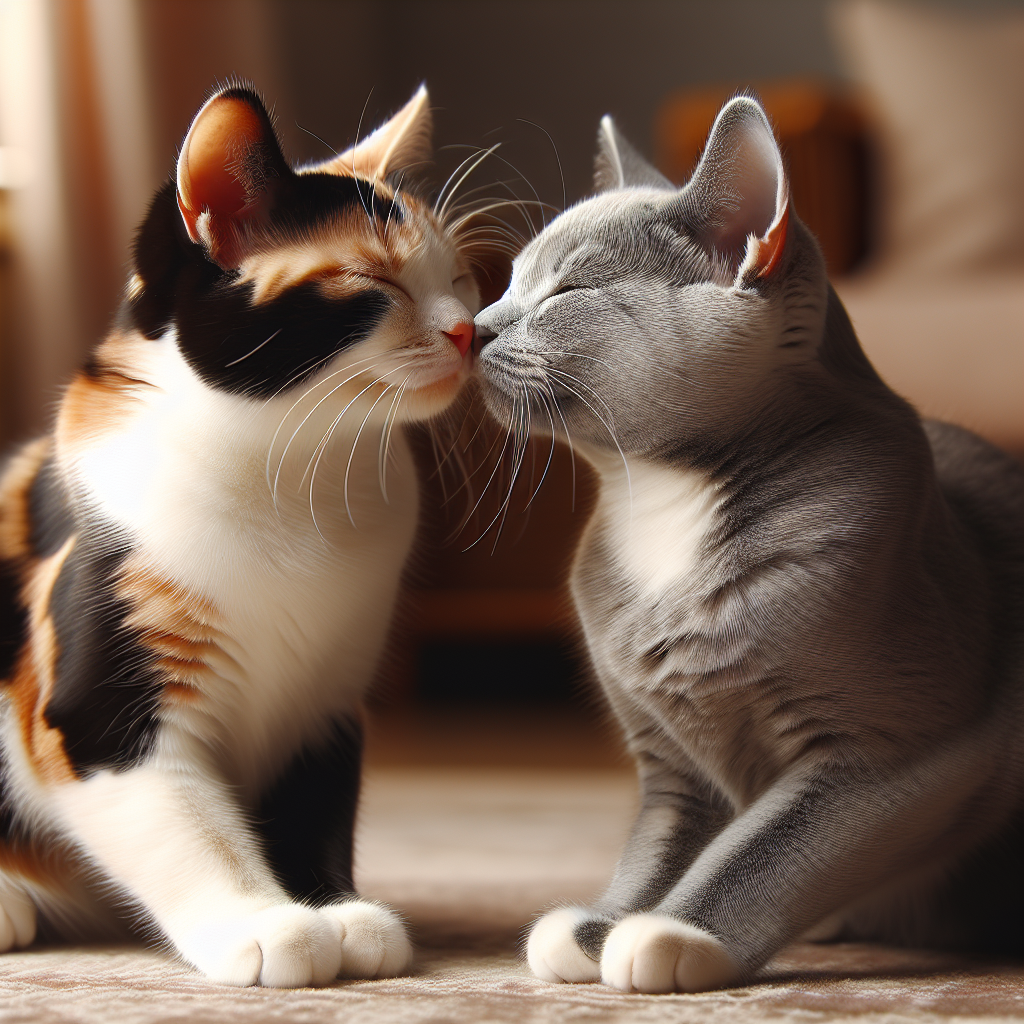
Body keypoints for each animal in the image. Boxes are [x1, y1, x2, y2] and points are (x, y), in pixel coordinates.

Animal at [0, 86, 485, 983]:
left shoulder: (327, 703)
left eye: (461, 278)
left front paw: (336, 912)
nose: (473, 330)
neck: (297, 478)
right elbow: (184, 824)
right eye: (374, 280)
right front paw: (262, 923)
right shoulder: (100, 699)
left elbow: (313, 809)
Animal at [471, 97, 1024, 991]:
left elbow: (764, 847)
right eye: (511, 281)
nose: (471, 325)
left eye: (568, 289)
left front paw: (676, 933)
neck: (661, 503)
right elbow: (661, 845)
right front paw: (601, 925)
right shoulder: (670, 760)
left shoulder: (906, 747)